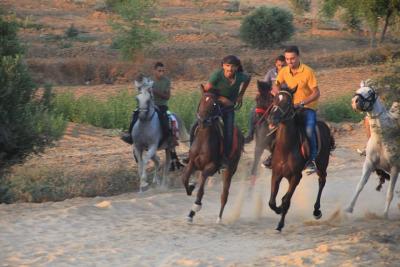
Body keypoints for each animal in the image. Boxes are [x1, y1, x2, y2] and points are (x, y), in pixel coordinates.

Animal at [181, 86, 244, 224]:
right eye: (202, 100)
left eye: (214, 104)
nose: (203, 121)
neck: (203, 138)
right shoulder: (192, 162)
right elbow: (185, 179)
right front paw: (191, 187)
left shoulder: (212, 166)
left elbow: (202, 184)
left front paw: (197, 204)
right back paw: (191, 213)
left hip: (230, 170)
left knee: (224, 195)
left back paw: (219, 218)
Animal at [268, 88, 336, 232]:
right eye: (274, 99)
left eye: (288, 102)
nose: (272, 117)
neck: (286, 148)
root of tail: (324, 125)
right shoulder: (276, 174)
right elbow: (272, 202)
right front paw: (278, 210)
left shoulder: (296, 176)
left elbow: (286, 201)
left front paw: (280, 224)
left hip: (322, 164)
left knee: (322, 181)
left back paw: (317, 211)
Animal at [346, 80, 398, 219]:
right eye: (358, 90)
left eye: (370, 92)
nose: (355, 101)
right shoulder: (369, 163)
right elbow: (360, 185)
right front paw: (349, 208)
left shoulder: (395, 168)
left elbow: (390, 193)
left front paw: (385, 214)